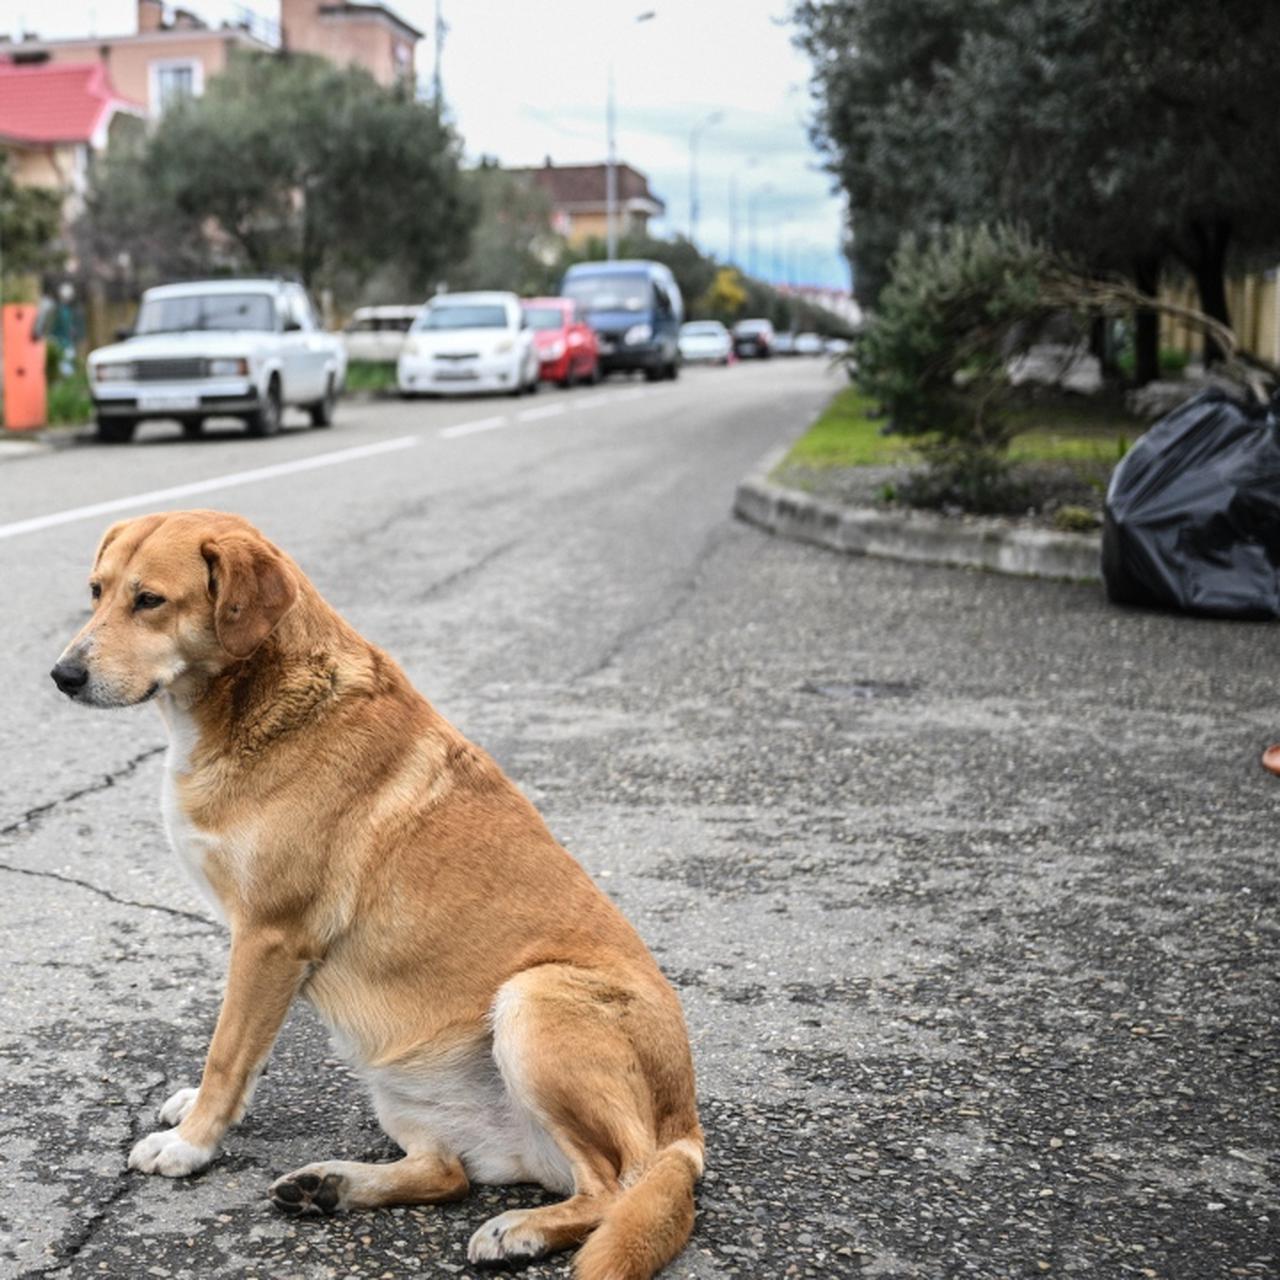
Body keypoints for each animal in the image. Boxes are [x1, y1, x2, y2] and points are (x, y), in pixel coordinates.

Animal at [52, 512, 701, 1280]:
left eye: (149, 600)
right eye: (96, 592)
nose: (61, 677)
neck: (255, 697)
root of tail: (684, 1133)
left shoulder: (269, 939)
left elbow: (228, 1051)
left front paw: (192, 1144)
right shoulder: (262, 953)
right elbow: (244, 1051)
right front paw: (199, 1115)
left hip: (533, 1001)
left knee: (612, 1187)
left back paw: (520, 1231)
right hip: (403, 1084)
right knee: (450, 1174)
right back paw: (329, 1186)